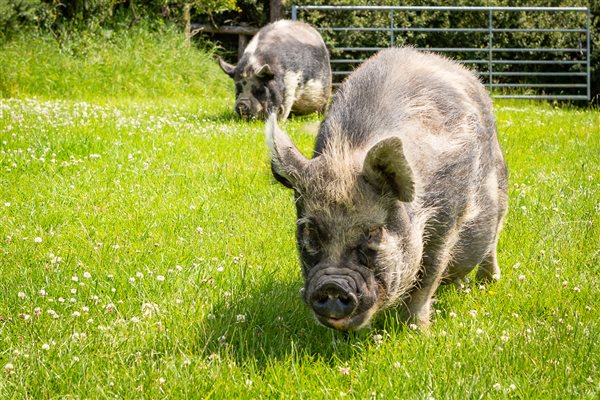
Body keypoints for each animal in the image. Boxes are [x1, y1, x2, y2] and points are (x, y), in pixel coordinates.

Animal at [268, 47, 506, 332]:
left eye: (374, 231)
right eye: (310, 229)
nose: (332, 286)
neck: (348, 154)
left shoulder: (447, 218)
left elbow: (427, 279)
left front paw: (417, 332)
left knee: (492, 241)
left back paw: (488, 283)